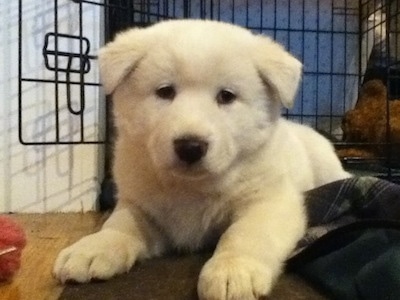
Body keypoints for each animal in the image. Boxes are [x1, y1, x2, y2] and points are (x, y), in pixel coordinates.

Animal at [54, 19, 350, 298]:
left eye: (226, 96)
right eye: (165, 91)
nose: (190, 146)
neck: (192, 187)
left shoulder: (269, 201)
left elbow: (246, 234)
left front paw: (233, 270)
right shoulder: (139, 204)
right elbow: (120, 224)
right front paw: (93, 247)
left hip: (325, 165)